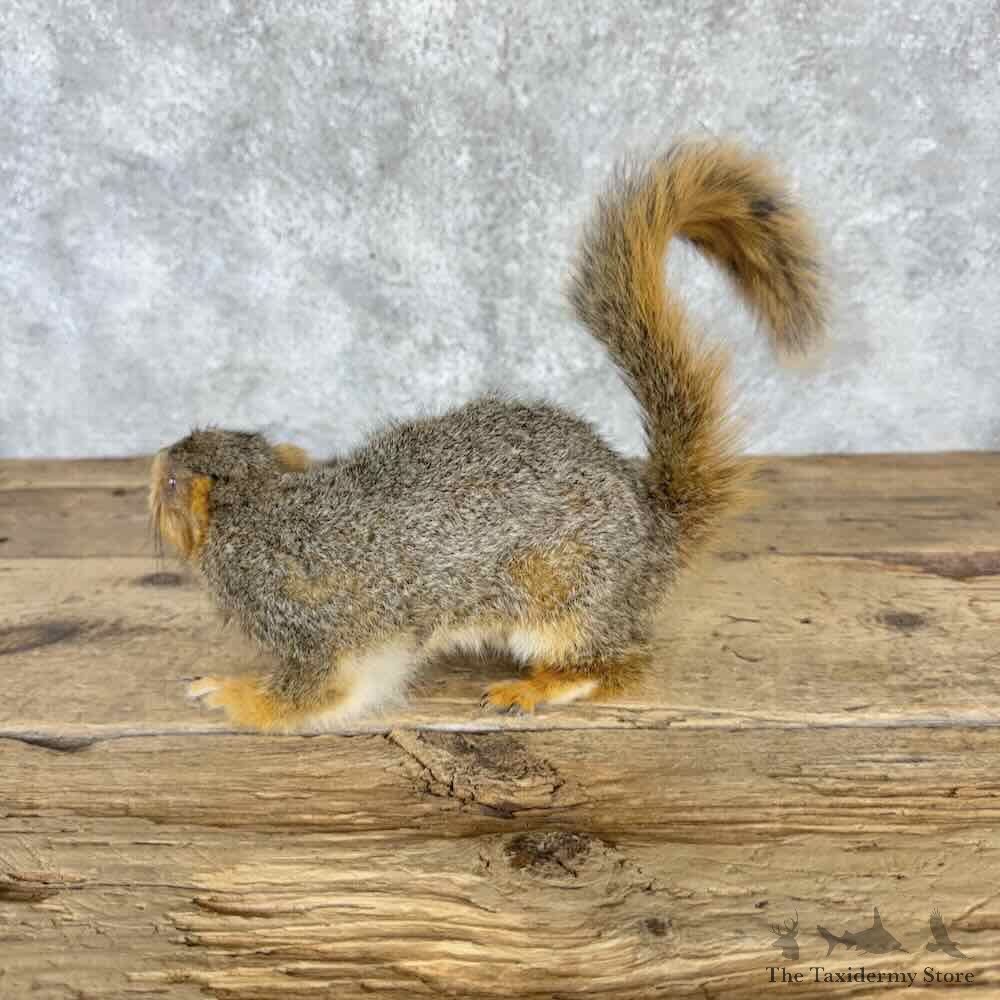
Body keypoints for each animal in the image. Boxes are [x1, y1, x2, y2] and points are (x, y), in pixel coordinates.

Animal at [150, 138, 825, 732]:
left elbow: (325, 690)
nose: (157, 460)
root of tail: (657, 535)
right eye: (241, 433)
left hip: (566, 601)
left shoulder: (315, 619)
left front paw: (230, 694)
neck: (261, 504)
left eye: (174, 484)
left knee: (612, 665)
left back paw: (538, 686)